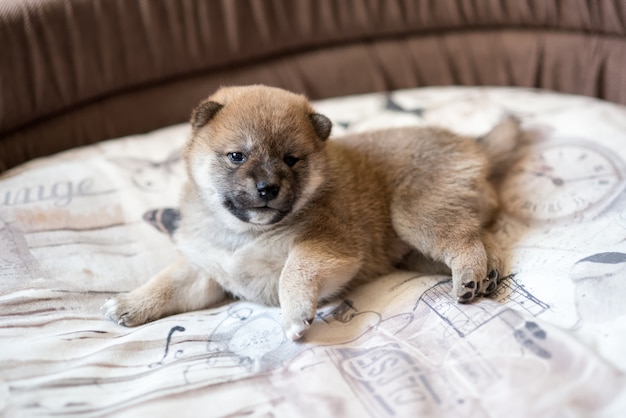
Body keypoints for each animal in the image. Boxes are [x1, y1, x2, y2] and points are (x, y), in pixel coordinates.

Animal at [101, 84, 516, 340]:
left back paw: (468, 278)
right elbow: (166, 284)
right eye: (237, 156)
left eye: (291, 159)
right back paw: (487, 275)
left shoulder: (325, 248)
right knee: (481, 235)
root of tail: (474, 145)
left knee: (463, 240)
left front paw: (295, 316)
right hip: (423, 245)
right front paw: (130, 304)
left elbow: (292, 274)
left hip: (414, 217)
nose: (268, 188)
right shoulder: (206, 270)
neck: (244, 234)